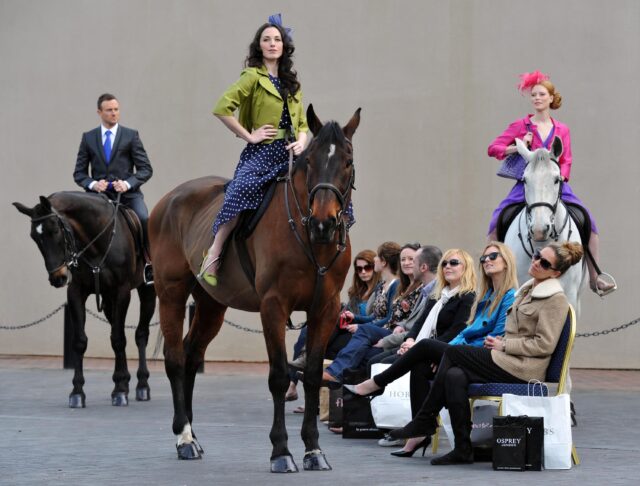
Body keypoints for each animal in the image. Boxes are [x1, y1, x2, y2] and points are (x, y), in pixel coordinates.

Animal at [13, 192, 156, 408]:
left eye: (55, 230)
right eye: (34, 237)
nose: (58, 277)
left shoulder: (122, 292)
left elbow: (118, 339)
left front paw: (119, 391)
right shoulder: (76, 292)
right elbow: (81, 341)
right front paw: (78, 392)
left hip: (147, 291)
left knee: (141, 334)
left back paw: (142, 385)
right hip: (108, 300)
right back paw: (125, 381)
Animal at [149, 105, 360, 470]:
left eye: (347, 160)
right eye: (309, 160)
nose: (324, 222)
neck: (309, 238)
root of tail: (169, 200)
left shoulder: (326, 308)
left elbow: (313, 374)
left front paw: (313, 450)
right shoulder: (273, 306)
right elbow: (278, 376)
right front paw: (281, 451)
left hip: (211, 304)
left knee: (191, 355)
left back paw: (193, 434)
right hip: (171, 292)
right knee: (175, 358)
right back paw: (184, 438)